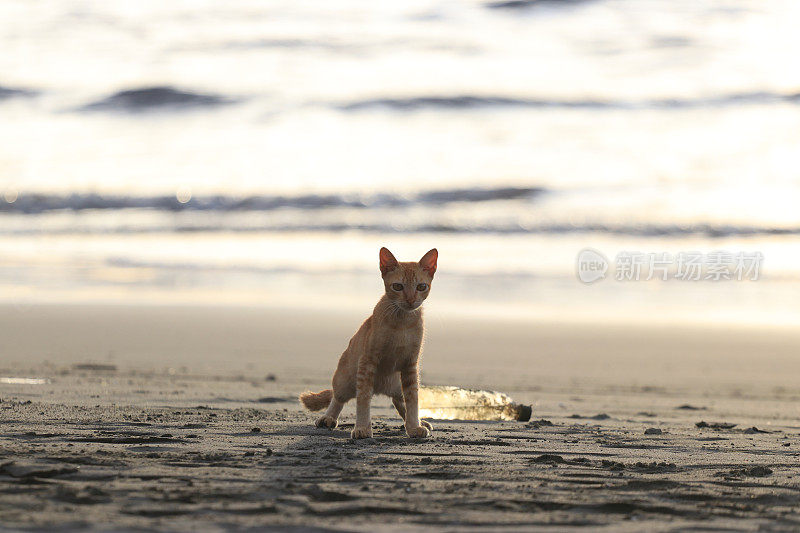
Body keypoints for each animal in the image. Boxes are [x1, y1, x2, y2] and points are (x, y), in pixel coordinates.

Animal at [300, 245, 438, 436]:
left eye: (421, 286)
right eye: (398, 286)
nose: (410, 300)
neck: (401, 322)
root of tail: (383, 388)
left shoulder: (410, 365)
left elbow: (412, 399)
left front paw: (413, 426)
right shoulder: (367, 361)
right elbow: (363, 398)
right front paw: (362, 428)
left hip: (398, 382)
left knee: (399, 401)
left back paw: (416, 422)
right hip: (345, 380)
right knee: (337, 397)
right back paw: (328, 417)